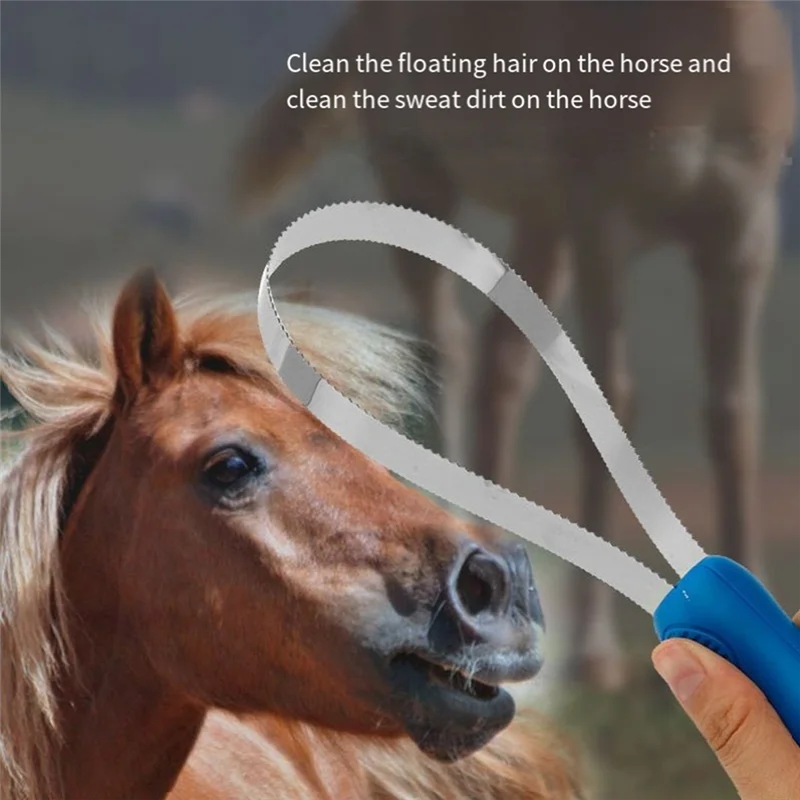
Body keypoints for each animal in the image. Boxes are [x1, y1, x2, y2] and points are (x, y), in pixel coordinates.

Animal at [234, 0, 797, 688]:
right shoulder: (603, 227)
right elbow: (607, 412)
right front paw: (594, 653)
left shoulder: (742, 236)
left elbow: (733, 416)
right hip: (419, 182)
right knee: (444, 347)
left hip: (542, 223)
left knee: (498, 369)